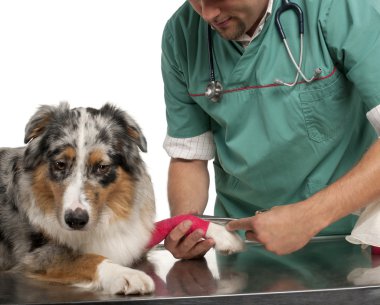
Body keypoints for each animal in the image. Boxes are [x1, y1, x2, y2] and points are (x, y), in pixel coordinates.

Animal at [0, 102, 243, 294]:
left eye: (102, 166)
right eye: (60, 164)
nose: (75, 220)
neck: (104, 216)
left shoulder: (135, 235)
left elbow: (178, 219)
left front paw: (221, 233)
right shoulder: (34, 256)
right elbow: (87, 258)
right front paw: (126, 275)